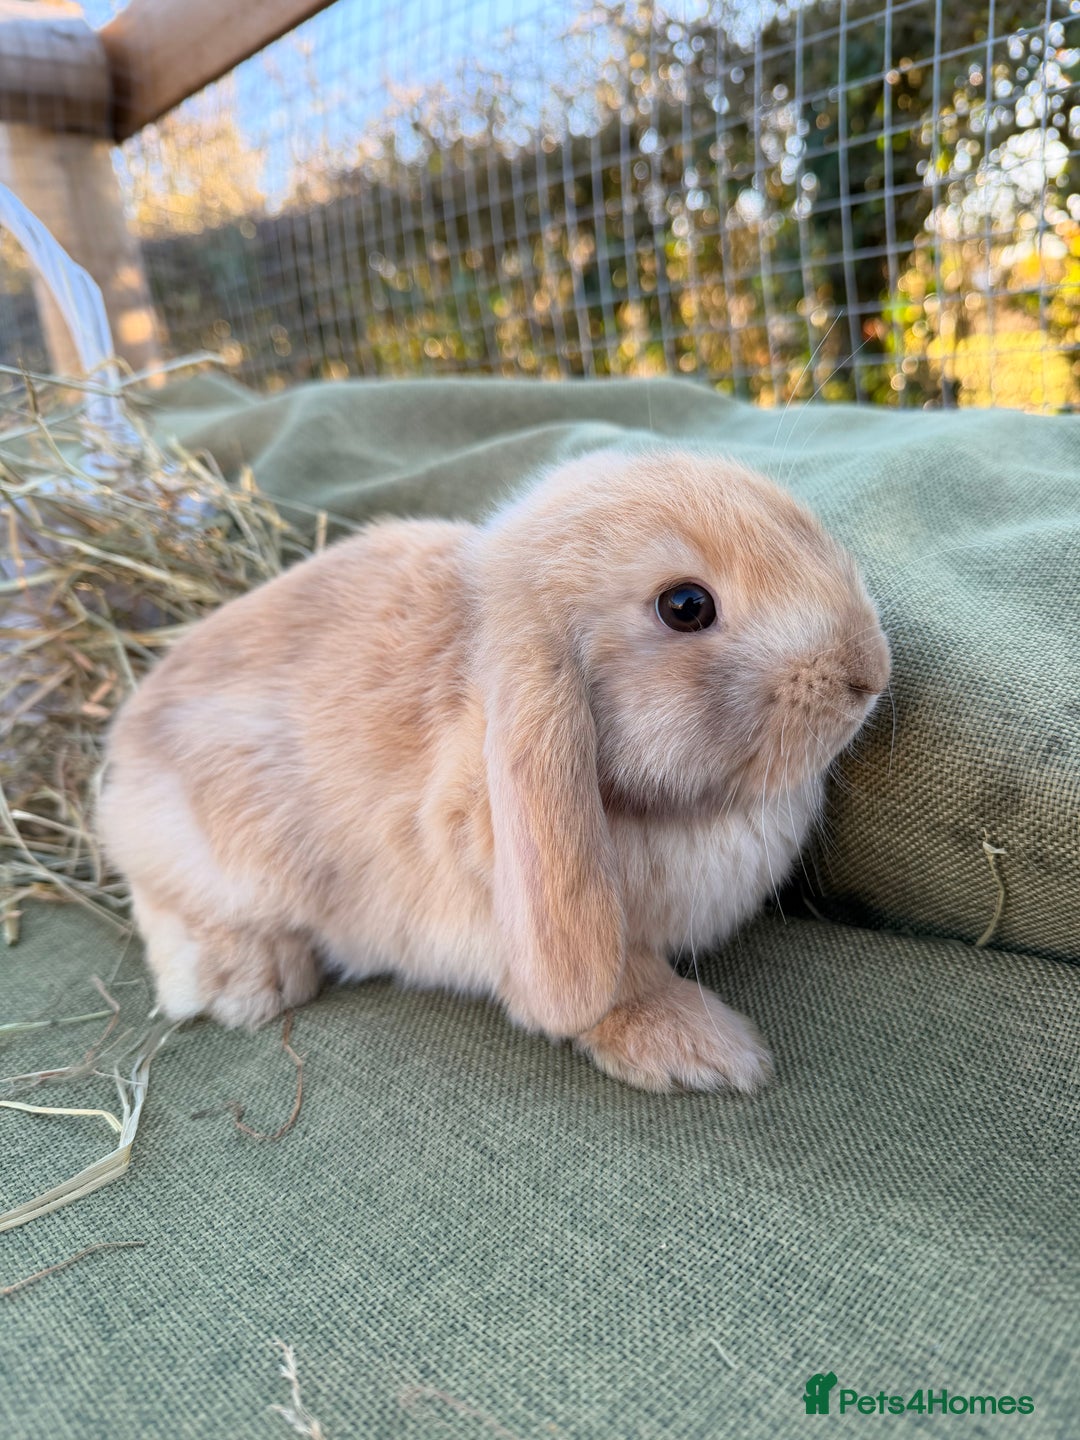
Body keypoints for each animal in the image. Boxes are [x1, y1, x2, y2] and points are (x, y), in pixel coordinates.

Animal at [98, 446, 889, 1092]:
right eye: (686, 606)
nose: (869, 673)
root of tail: (121, 752)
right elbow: (614, 986)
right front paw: (709, 1052)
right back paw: (250, 982)